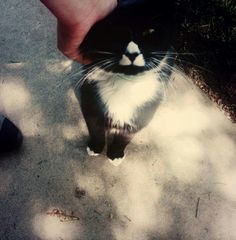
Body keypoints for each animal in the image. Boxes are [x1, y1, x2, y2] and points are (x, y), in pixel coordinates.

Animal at [75, 0, 175, 165]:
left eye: (149, 32)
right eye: (115, 31)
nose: (132, 53)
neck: (125, 87)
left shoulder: (142, 114)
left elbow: (125, 137)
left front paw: (115, 154)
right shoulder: (91, 101)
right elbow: (95, 128)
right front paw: (96, 147)